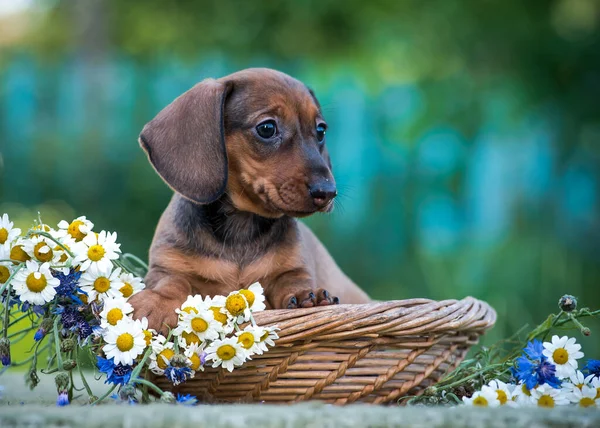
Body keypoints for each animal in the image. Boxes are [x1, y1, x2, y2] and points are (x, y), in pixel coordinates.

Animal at [131, 67, 370, 332]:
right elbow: (173, 282)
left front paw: (308, 295)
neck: (242, 223)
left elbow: (292, 281)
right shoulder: (165, 268)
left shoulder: (293, 269)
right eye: (267, 128)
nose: (327, 192)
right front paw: (157, 301)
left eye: (320, 130)